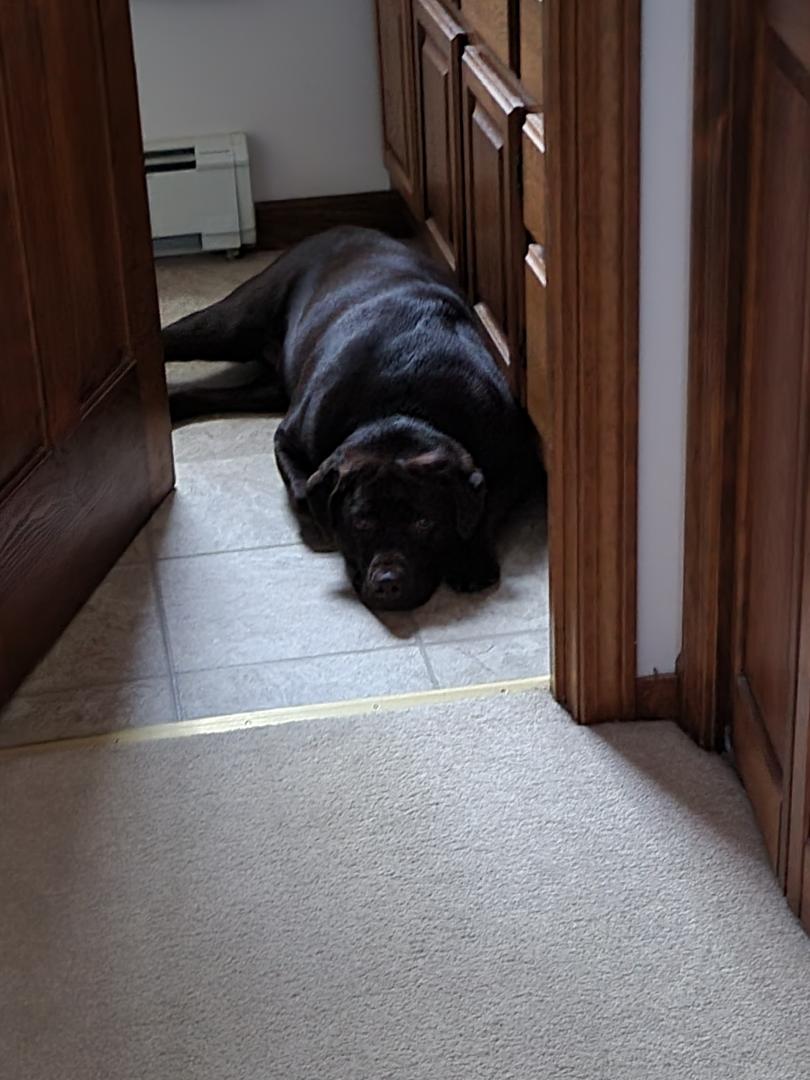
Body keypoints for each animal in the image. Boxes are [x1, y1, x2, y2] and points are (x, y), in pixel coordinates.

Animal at [162, 227, 540, 611]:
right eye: (362, 522)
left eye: (424, 523)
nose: (389, 582)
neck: (402, 409)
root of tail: (339, 229)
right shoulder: (290, 439)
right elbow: (304, 493)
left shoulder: (516, 460)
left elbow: (487, 505)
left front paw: (470, 560)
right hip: (235, 324)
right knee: (175, 337)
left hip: (270, 387)